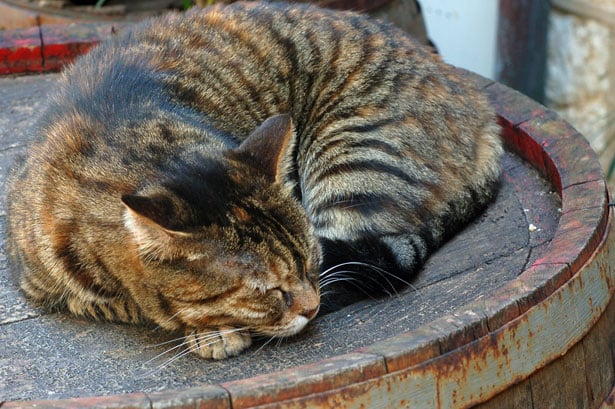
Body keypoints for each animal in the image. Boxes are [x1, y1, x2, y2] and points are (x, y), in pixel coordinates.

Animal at [6, 0, 500, 356]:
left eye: (311, 262)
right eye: (267, 290)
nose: (311, 307)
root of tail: (479, 104)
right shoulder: (44, 282)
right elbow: (130, 303)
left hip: (352, 159)